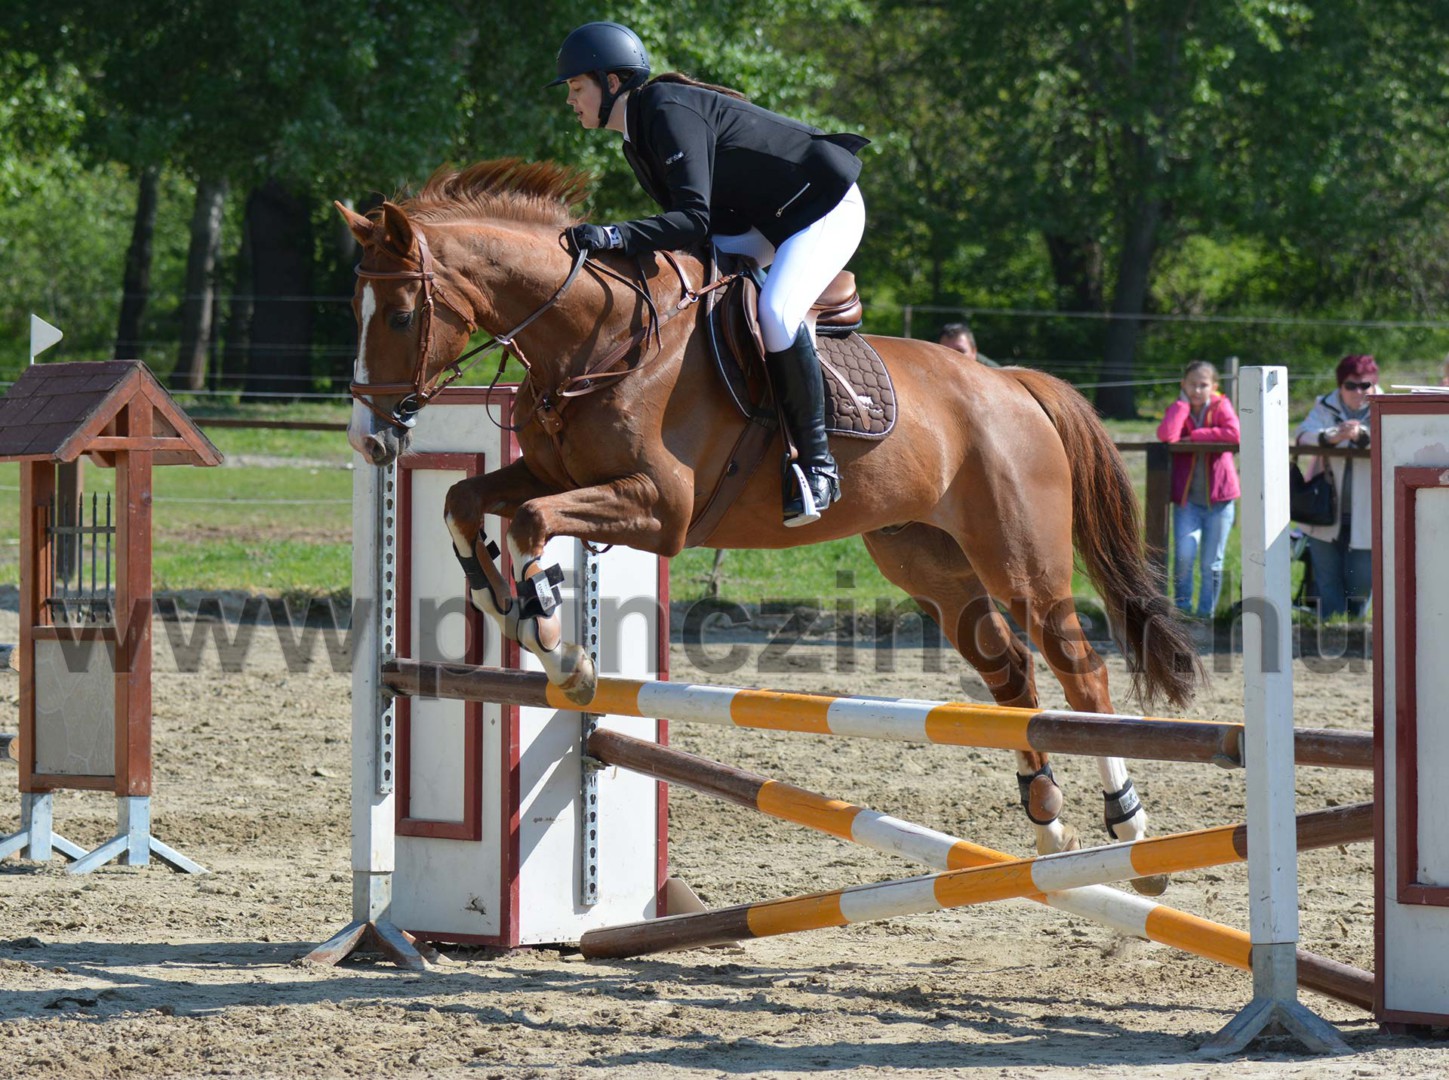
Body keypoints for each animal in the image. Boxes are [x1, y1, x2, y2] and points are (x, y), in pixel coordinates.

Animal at [336, 158, 1201, 891]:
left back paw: (1129, 835)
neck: (597, 339)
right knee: (1010, 672)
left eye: (402, 314)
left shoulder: (659, 508)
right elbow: (467, 501)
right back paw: (1047, 821)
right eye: (356, 311)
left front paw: (558, 645)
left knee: (1079, 673)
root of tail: (1010, 384)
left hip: (1019, 560)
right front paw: (498, 600)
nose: (368, 439)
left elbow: (526, 522)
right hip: (929, 564)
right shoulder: (555, 474)